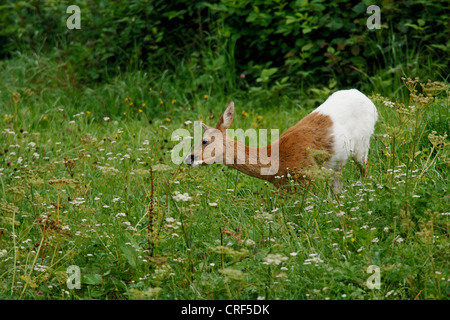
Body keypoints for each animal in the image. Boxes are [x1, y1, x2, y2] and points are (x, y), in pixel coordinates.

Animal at [185, 89, 378, 192]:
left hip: (362, 145)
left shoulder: (309, 179)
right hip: (336, 164)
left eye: (204, 140)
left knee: (365, 170)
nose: (189, 158)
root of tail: (369, 101)